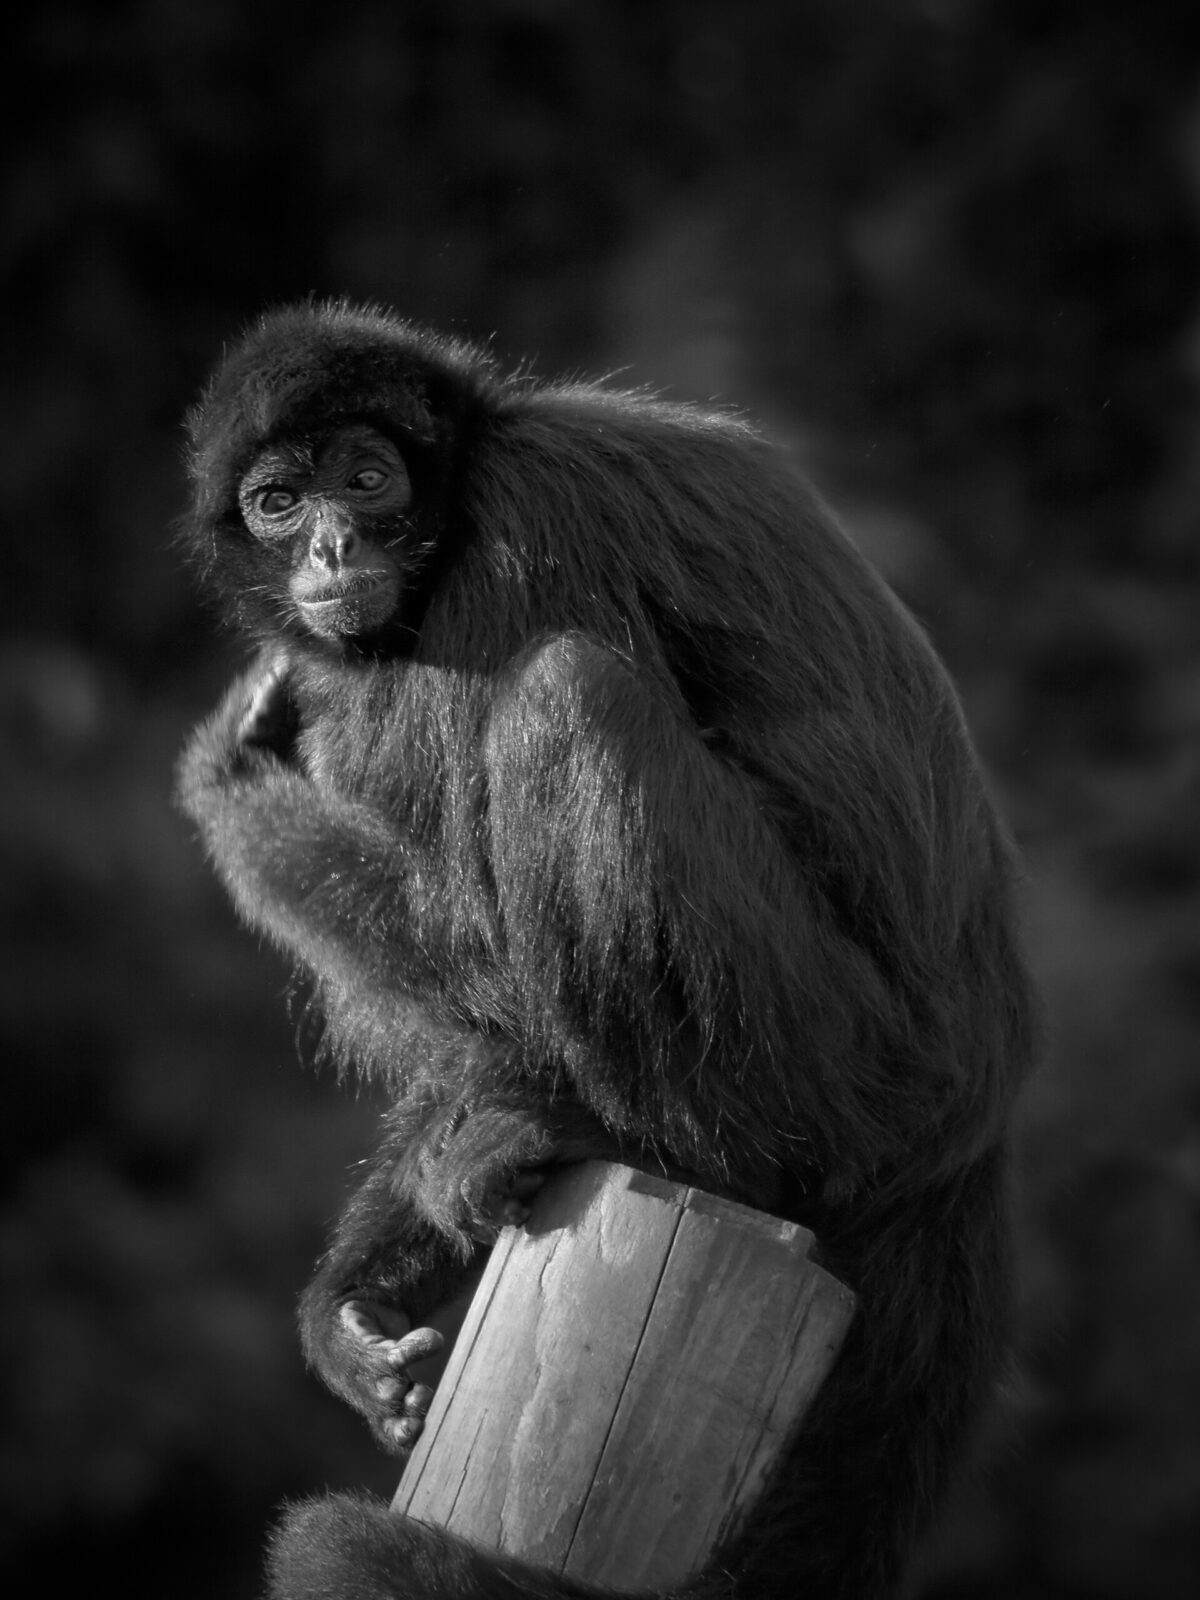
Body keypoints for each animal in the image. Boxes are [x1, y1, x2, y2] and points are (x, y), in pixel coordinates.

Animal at [176, 300, 1037, 1600]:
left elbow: (478, 923)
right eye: (279, 501)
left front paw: (230, 785)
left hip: (838, 1054)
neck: (477, 462)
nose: (328, 546)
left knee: (566, 694)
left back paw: (636, 1137)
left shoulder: (525, 533)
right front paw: (359, 1296)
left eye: (368, 480)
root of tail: (973, 1120)